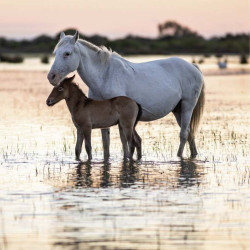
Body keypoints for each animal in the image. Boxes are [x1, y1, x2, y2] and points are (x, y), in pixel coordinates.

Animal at [47, 31, 205, 158]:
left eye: (67, 53)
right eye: (55, 53)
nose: (51, 77)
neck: (104, 75)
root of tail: (193, 67)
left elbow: (123, 141)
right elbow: (106, 142)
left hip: (187, 106)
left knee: (183, 133)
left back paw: (179, 156)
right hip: (178, 110)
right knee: (189, 132)